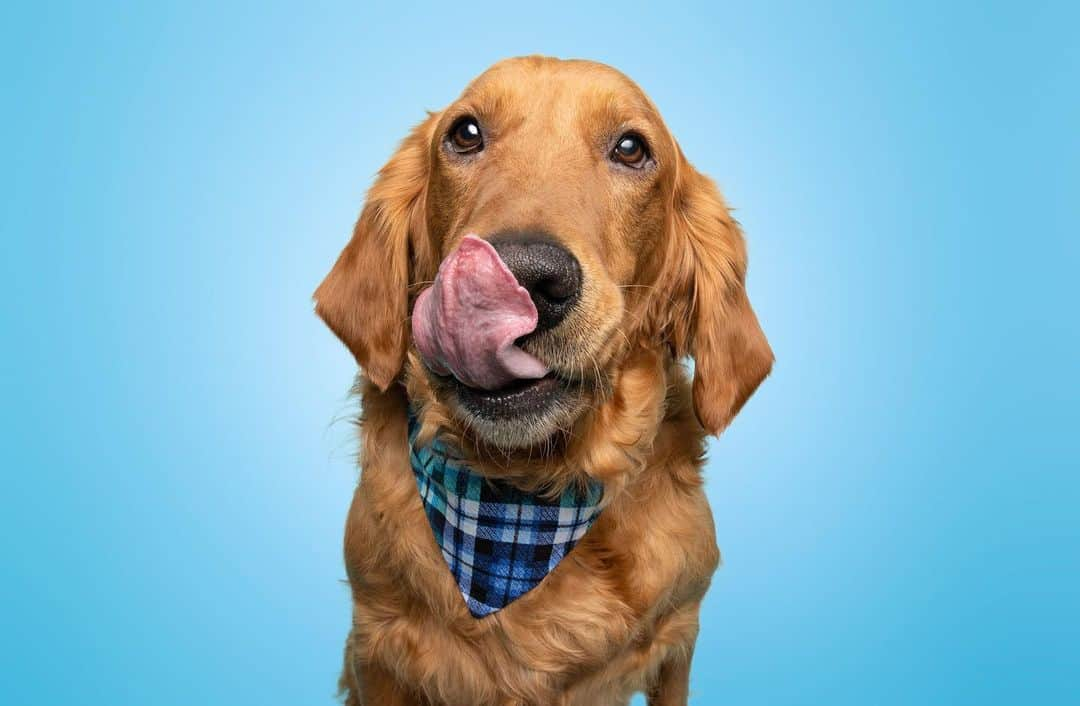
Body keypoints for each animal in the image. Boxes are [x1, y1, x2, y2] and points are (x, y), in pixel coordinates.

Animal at [315, 56, 773, 706]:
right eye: (466, 133)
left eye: (631, 148)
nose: (528, 277)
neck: (522, 507)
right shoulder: (375, 650)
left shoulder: (678, 641)